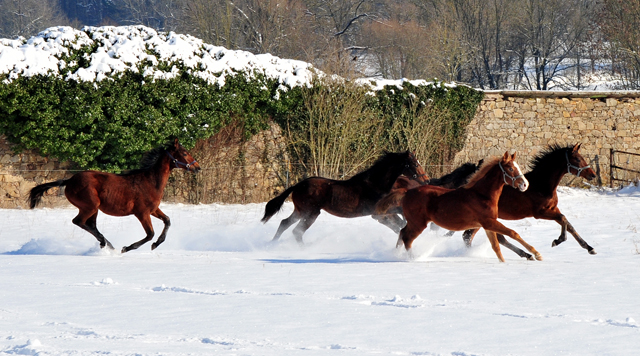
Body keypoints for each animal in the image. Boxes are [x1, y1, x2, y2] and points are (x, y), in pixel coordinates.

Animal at [28, 139, 200, 253]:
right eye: (184, 153)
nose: (198, 167)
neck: (150, 181)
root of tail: (69, 180)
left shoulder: (153, 210)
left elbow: (167, 221)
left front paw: (156, 244)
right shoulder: (142, 213)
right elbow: (150, 234)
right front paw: (127, 248)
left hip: (93, 209)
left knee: (90, 225)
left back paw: (106, 243)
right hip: (90, 206)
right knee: (79, 222)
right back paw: (107, 244)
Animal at [260, 149, 430, 243]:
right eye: (415, 164)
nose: (427, 180)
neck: (375, 184)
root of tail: (297, 185)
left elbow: (400, 222)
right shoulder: (379, 215)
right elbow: (398, 225)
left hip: (300, 211)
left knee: (284, 223)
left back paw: (271, 245)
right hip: (311, 213)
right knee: (297, 231)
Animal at [376, 152, 540, 262]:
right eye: (511, 169)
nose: (525, 184)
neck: (482, 195)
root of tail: (407, 191)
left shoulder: (486, 225)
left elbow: (497, 245)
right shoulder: (488, 222)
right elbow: (512, 233)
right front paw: (536, 254)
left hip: (413, 223)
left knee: (402, 233)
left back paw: (396, 254)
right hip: (418, 224)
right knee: (407, 238)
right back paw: (413, 258)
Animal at [462, 143, 596, 258]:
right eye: (577, 159)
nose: (593, 175)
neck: (541, 184)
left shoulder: (553, 209)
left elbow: (568, 224)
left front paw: (589, 248)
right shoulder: (540, 213)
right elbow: (563, 219)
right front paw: (557, 241)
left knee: (474, 236)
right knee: (469, 236)